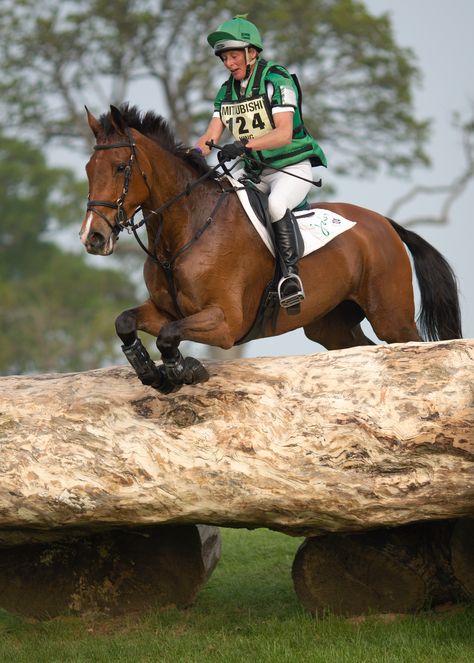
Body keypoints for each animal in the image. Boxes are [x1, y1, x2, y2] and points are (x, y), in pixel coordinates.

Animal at [79, 104, 462, 394]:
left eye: (121, 167)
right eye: (88, 169)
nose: (92, 237)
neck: (184, 231)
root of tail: (384, 223)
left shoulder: (225, 323)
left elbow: (169, 337)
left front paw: (181, 370)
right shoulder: (165, 311)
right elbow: (126, 321)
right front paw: (150, 371)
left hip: (391, 317)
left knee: (415, 346)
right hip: (331, 326)